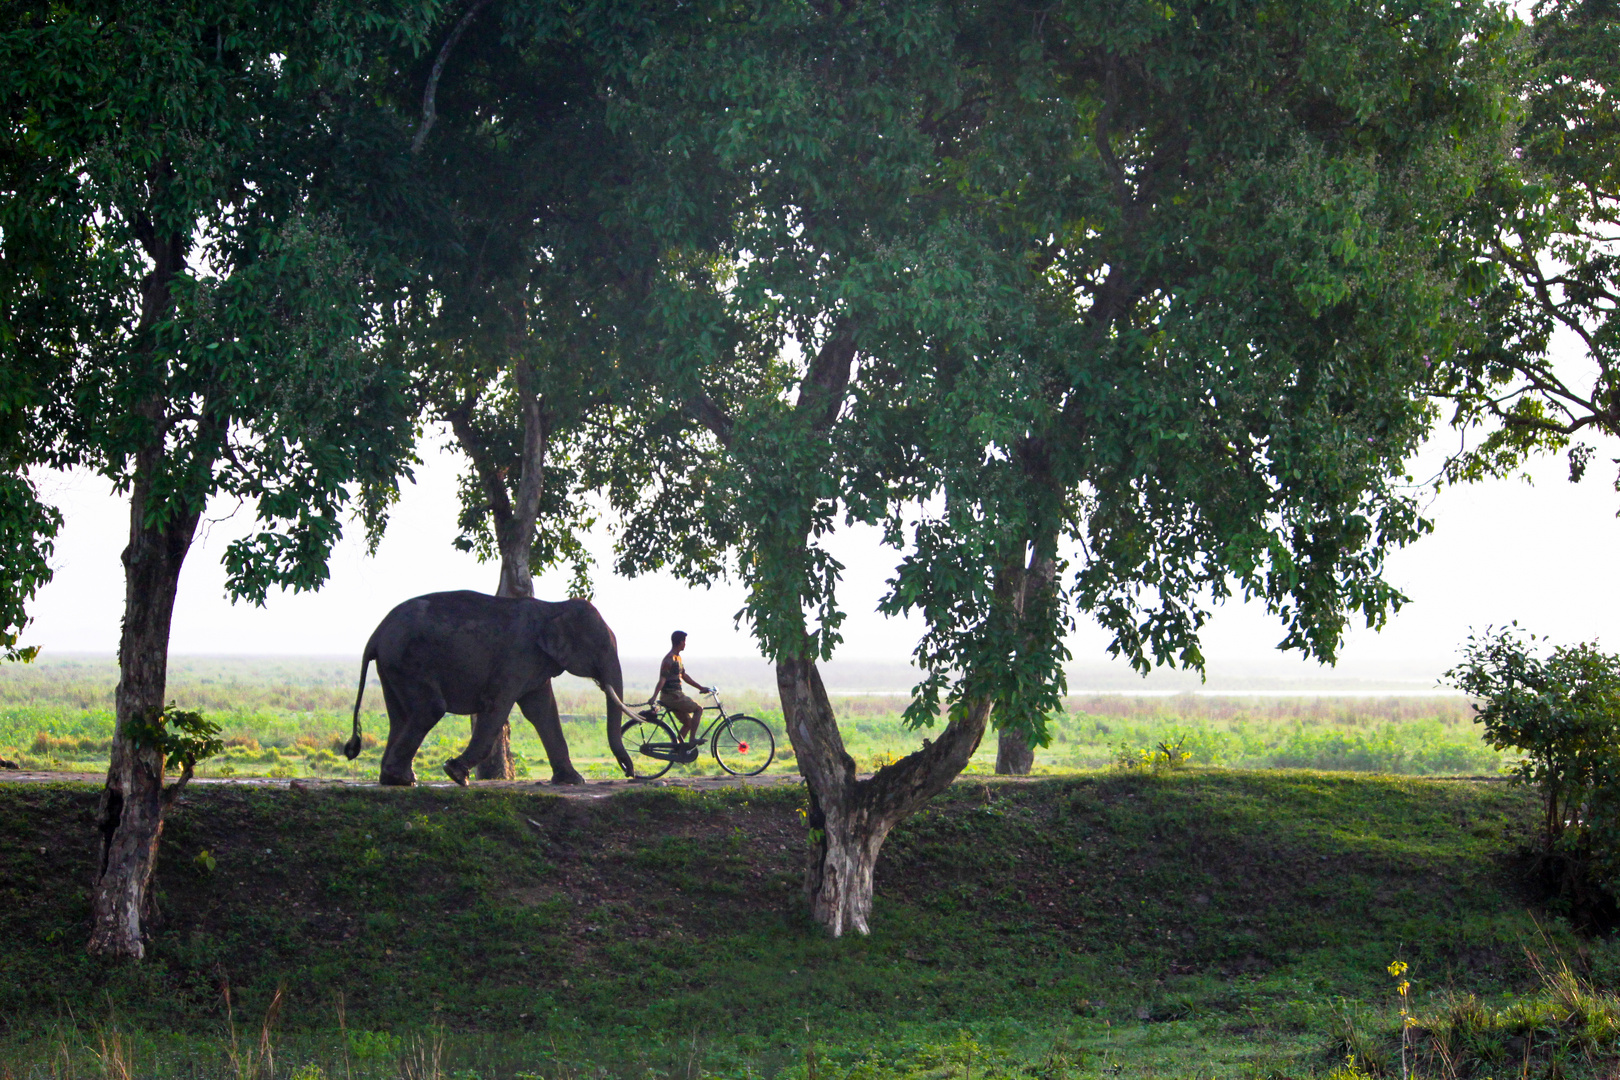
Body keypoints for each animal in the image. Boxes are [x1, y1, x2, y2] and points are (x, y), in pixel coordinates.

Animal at [345, 592, 635, 786]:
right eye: (602, 647)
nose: (629, 772)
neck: (553, 606)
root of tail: (376, 634)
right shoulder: (517, 656)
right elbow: (498, 706)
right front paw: (455, 773)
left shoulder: (535, 663)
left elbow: (542, 711)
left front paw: (574, 781)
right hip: (408, 659)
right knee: (430, 709)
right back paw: (403, 779)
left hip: (392, 666)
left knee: (400, 716)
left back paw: (397, 780)